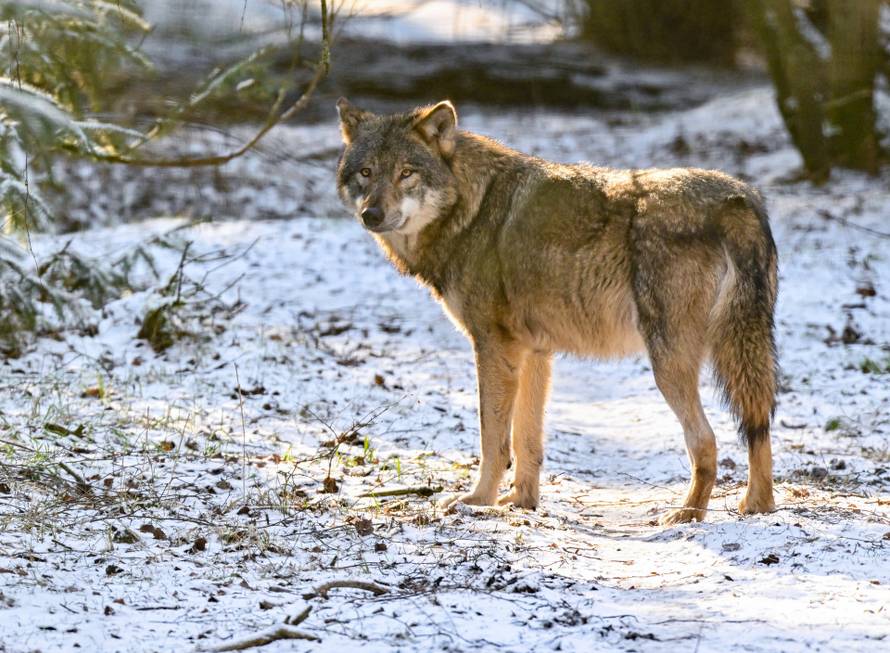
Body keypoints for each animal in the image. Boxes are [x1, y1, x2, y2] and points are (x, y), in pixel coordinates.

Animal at [335, 98, 778, 524]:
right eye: (366, 172)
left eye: (406, 173)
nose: (371, 214)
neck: (470, 209)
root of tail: (737, 199)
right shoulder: (534, 353)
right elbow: (526, 440)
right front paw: (521, 502)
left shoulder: (493, 347)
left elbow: (493, 439)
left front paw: (478, 501)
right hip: (739, 350)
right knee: (758, 426)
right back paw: (757, 506)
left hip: (669, 363)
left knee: (706, 441)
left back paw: (687, 514)